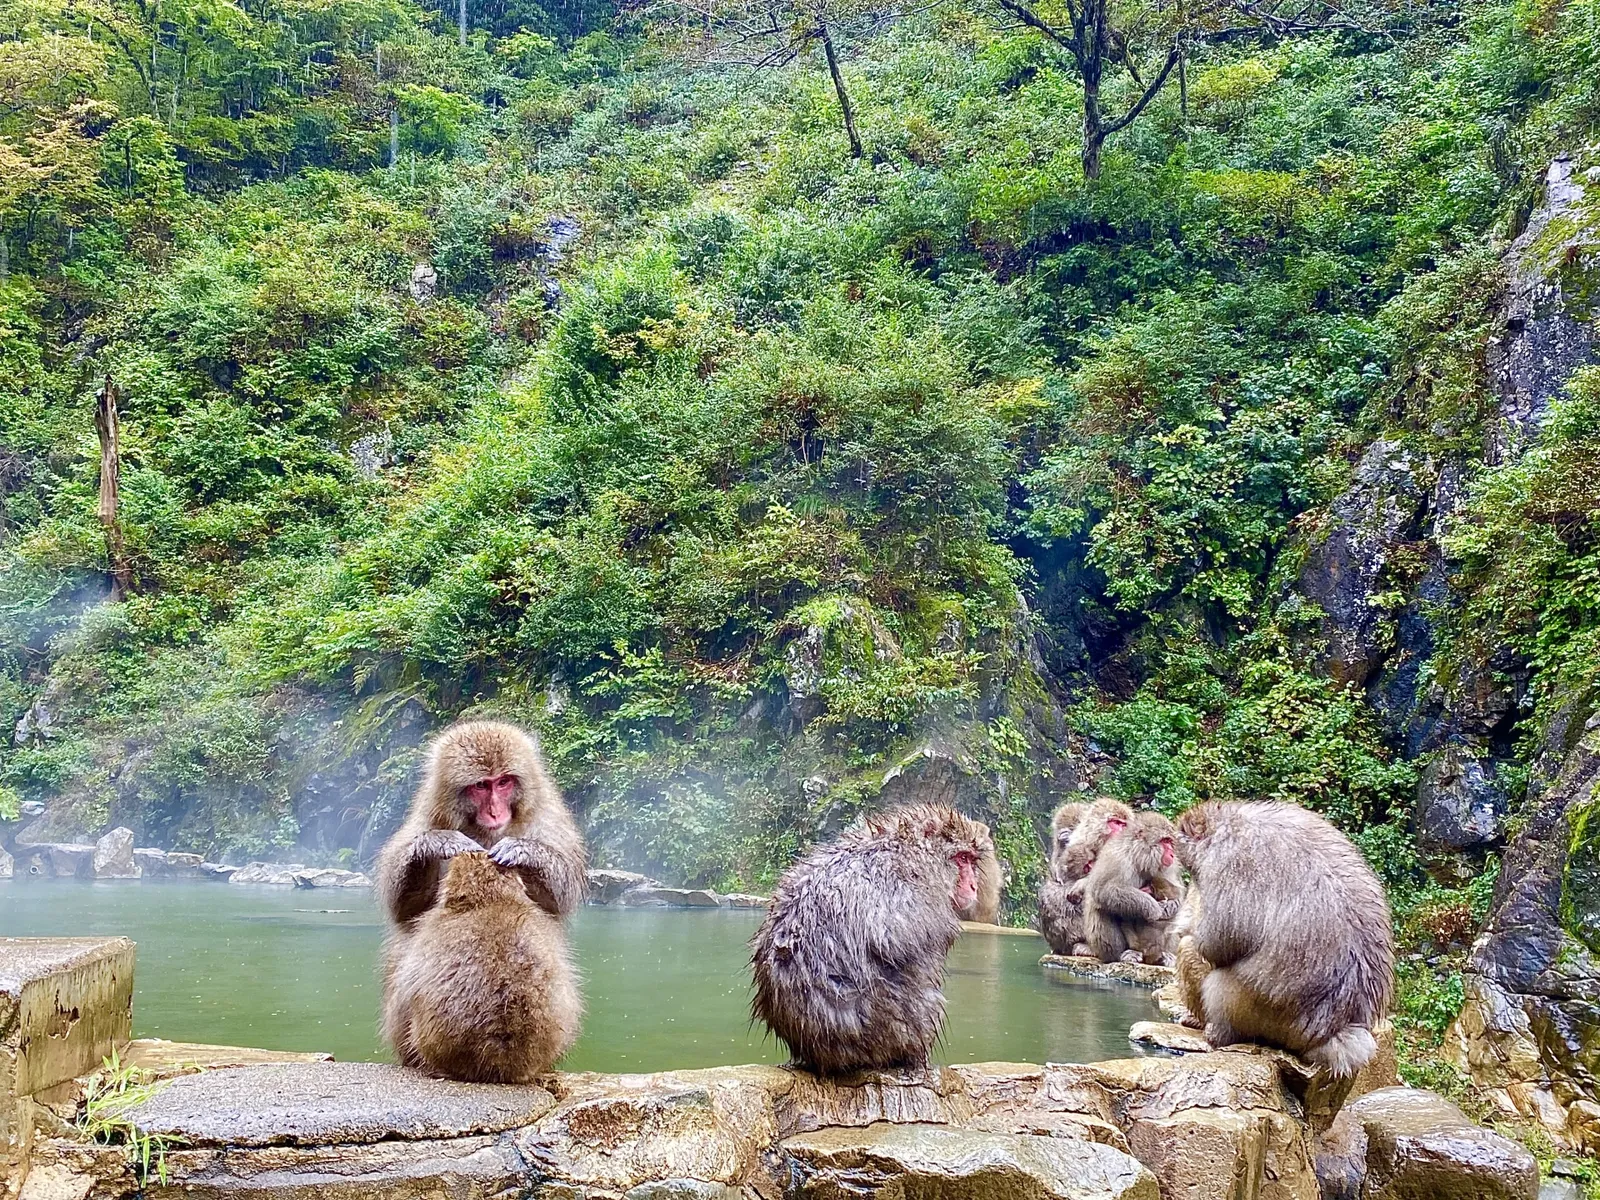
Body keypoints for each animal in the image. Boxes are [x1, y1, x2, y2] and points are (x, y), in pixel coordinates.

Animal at [376, 720, 586, 927]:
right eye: (481, 785)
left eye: (503, 782)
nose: (495, 813)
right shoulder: (430, 814)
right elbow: (406, 908)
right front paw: (439, 842)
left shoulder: (545, 815)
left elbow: (560, 899)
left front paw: (520, 849)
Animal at [749, 803, 987, 1076]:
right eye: (962, 858)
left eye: (971, 860)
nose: (973, 886)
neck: (916, 850)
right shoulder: (913, 887)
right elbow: (895, 939)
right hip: (890, 1028)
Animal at [1081, 810, 1185, 965]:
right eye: (1165, 841)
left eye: (1170, 842)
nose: (1172, 854)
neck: (1139, 857)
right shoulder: (1117, 857)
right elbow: (1104, 890)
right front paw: (1154, 909)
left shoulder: (1166, 867)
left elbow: (1177, 893)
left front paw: (1171, 905)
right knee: (1101, 907)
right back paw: (1121, 955)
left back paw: (1166, 956)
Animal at [1174, 801, 1394, 1077]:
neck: (1230, 823)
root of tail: (1332, 1033)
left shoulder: (1228, 862)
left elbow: (1216, 940)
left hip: (1258, 1012)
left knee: (1199, 962)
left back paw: (1217, 1031)